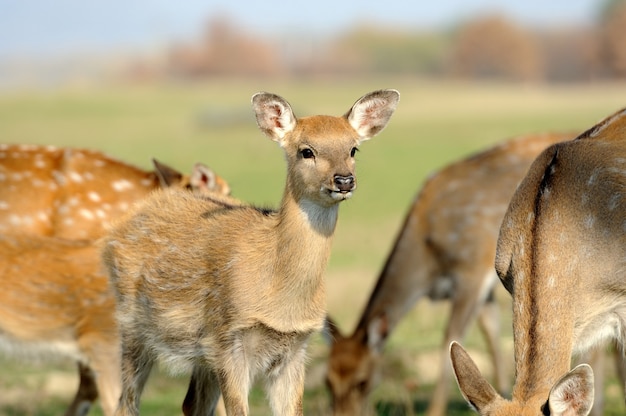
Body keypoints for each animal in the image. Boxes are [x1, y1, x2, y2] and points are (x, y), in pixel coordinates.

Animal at [100, 89, 398, 414]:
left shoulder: (295, 349)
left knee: (191, 403)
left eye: (353, 149)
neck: (282, 299)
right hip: (133, 326)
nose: (344, 180)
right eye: (306, 151)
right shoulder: (230, 340)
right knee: (126, 402)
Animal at [324, 131, 572, 416]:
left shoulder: (472, 269)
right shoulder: (483, 288)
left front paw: (435, 410)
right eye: (328, 381)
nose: (343, 414)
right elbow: (491, 331)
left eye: (362, 381)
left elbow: (450, 338)